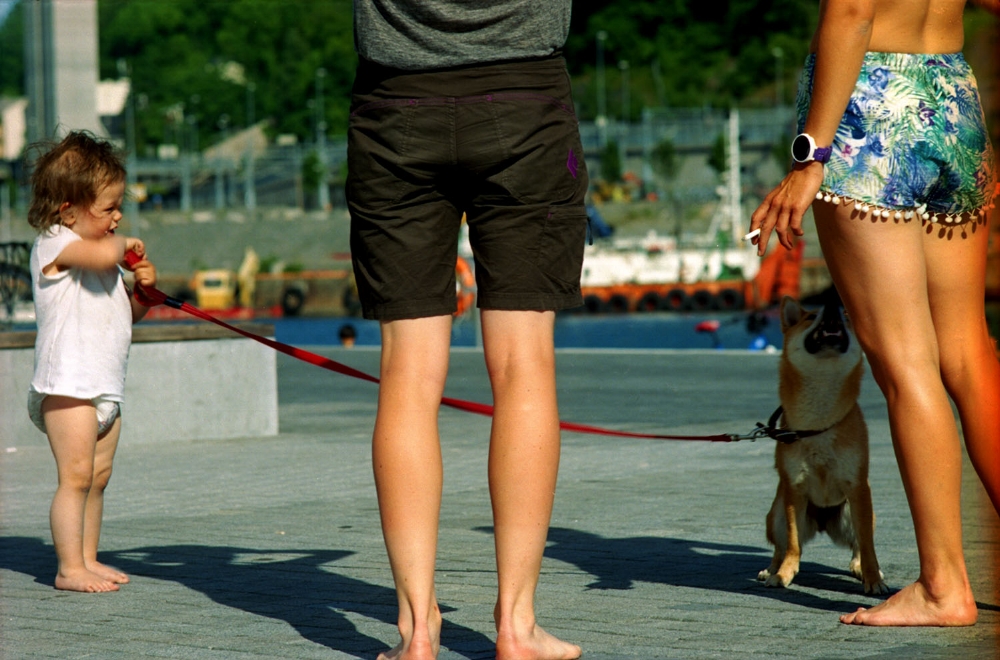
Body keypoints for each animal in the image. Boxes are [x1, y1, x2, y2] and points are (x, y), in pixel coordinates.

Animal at [756, 296, 892, 596]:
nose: (831, 306)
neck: (818, 423)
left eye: (846, 317)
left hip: (854, 512)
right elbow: (793, 543)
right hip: (776, 515)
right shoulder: (794, 489)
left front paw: (873, 578)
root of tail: (821, 522)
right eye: (810, 317)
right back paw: (772, 569)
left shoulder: (857, 486)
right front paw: (784, 574)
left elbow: (868, 545)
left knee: (858, 544)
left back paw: (861, 568)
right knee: (781, 546)